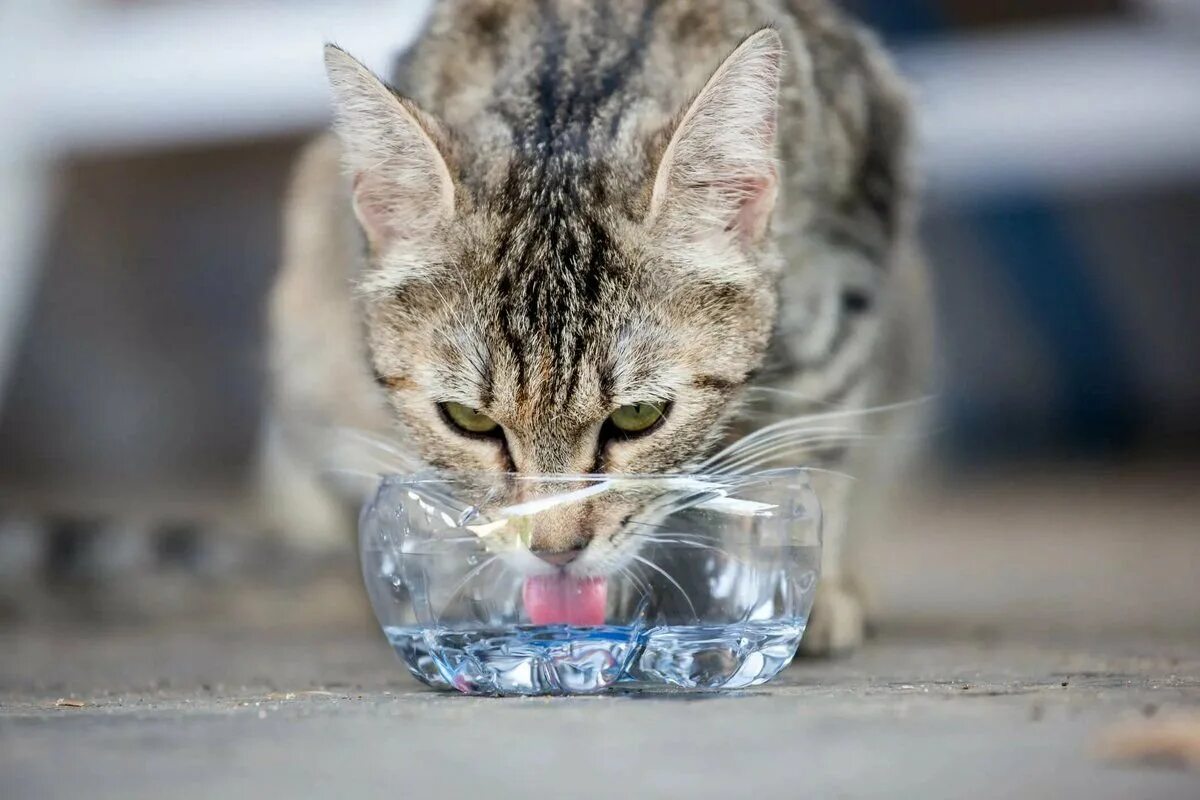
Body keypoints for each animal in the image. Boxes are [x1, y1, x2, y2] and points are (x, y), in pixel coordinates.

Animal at [267, 0, 931, 652]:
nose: (555, 552)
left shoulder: (847, 272)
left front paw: (780, 587)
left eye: (639, 417)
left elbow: (811, 442)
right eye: (468, 420)